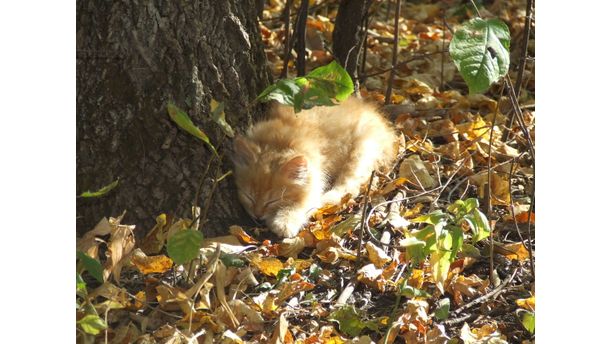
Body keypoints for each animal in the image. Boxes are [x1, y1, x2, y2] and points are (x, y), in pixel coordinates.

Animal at [231, 97, 396, 236]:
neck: (280, 142)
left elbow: (304, 202)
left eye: (272, 201)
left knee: (350, 187)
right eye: (249, 196)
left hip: (362, 151)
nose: (257, 215)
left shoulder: (315, 176)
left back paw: (328, 198)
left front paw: (285, 222)